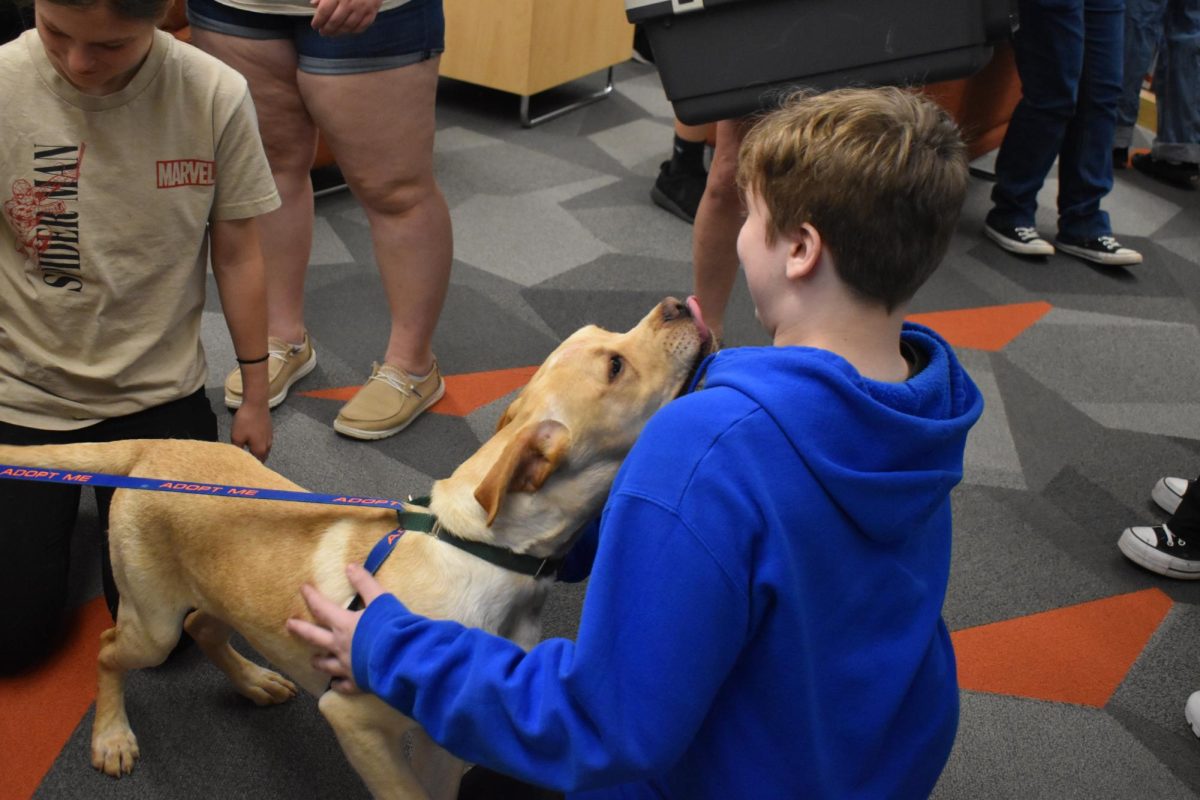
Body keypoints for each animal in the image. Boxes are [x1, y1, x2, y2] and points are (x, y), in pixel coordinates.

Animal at [0, 298, 710, 800]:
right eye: (615, 367)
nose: (680, 303)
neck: (483, 554)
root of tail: (151, 447)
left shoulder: (445, 728)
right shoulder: (354, 720)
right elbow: (405, 796)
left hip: (215, 595)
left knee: (205, 627)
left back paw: (255, 681)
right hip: (150, 622)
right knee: (109, 649)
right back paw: (112, 737)